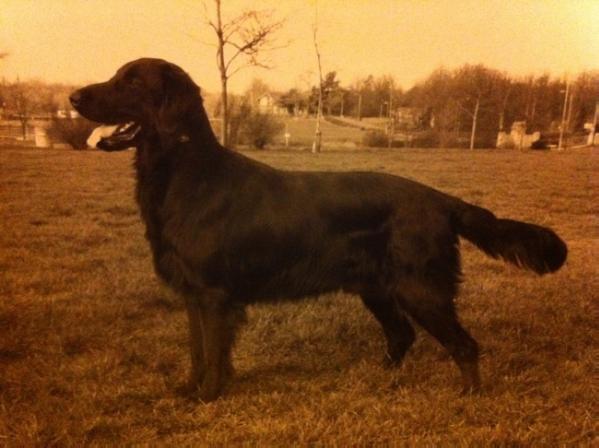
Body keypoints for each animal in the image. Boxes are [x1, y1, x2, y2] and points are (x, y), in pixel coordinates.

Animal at [70, 58, 568, 402]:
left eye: (133, 82)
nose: (73, 97)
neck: (185, 174)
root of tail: (441, 200)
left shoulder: (212, 294)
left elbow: (211, 353)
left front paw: (208, 397)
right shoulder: (194, 295)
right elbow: (198, 351)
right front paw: (193, 389)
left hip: (421, 289)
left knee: (464, 345)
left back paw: (468, 396)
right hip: (378, 288)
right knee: (401, 335)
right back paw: (377, 375)